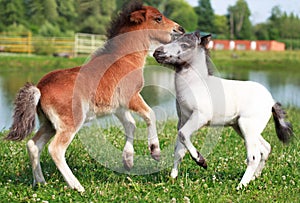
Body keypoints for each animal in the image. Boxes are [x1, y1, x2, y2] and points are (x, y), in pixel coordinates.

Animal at [5, 1, 185, 192]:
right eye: (158, 18)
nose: (180, 29)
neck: (125, 58)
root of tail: (39, 88)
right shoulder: (131, 97)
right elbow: (150, 114)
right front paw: (155, 151)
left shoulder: (118, 107)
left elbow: (131, 125)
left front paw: (128, 160)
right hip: (71, 122)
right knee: (55, 149)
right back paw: (77, 186)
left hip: (49, 123)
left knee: (33, 145)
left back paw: (40, 183)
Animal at [154, 31, 294, 189]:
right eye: (173, 39)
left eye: (185, 45)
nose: (157, 52)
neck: (196, 85)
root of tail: (271, 101)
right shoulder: (183, 120)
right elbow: (179, 149)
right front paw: (172, 178)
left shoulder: (200, 117)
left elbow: (183, 135)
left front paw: (201, 161)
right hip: (242, 127)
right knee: (265, 148)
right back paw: (254, 177)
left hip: (248, 127)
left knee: (254, 156)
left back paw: (241, 186)